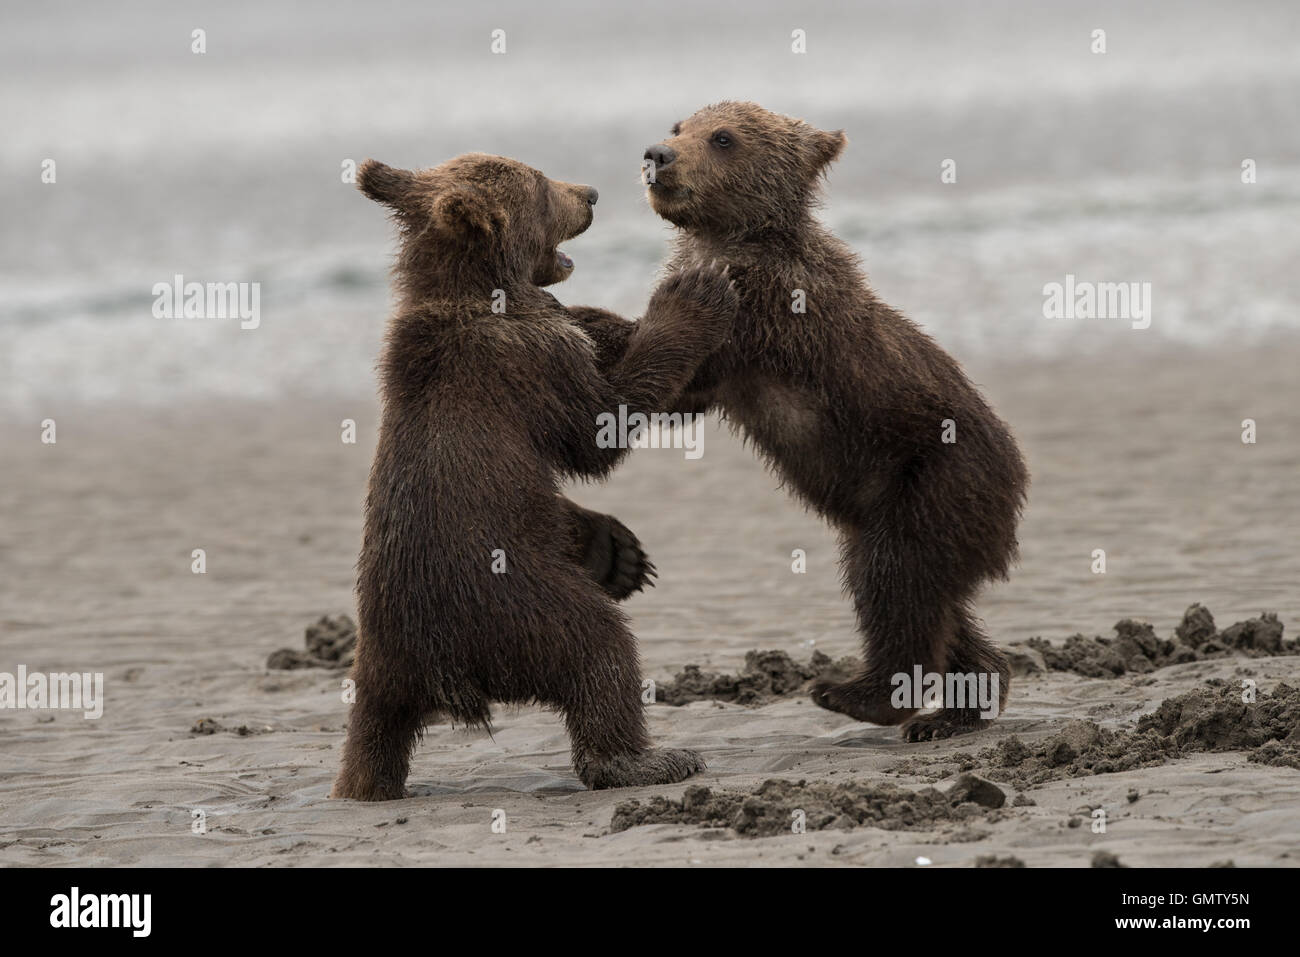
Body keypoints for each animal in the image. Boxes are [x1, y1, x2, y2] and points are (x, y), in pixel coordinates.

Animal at [331, 153, 738, 800]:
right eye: (545, 188)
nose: (591, 193)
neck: (484, 291)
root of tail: (425, 671)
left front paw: (618, 552)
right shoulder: (526, 360)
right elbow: (599, 426)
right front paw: (694, 293)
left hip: (383, 671)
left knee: (373, 739)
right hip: (514, 606)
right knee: (599, 649)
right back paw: (648, 759)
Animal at [615, 101, 1028, 740]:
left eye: (723, 137)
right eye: (680, 126)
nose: (656, 154)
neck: (730, 240)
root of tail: (1018, 483)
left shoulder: (768, 313)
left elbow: (677, 382)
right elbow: (678, 400)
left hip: (934, 477)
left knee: (894, 581)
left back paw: (858, 694)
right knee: (927, 597)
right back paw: (961, 704)